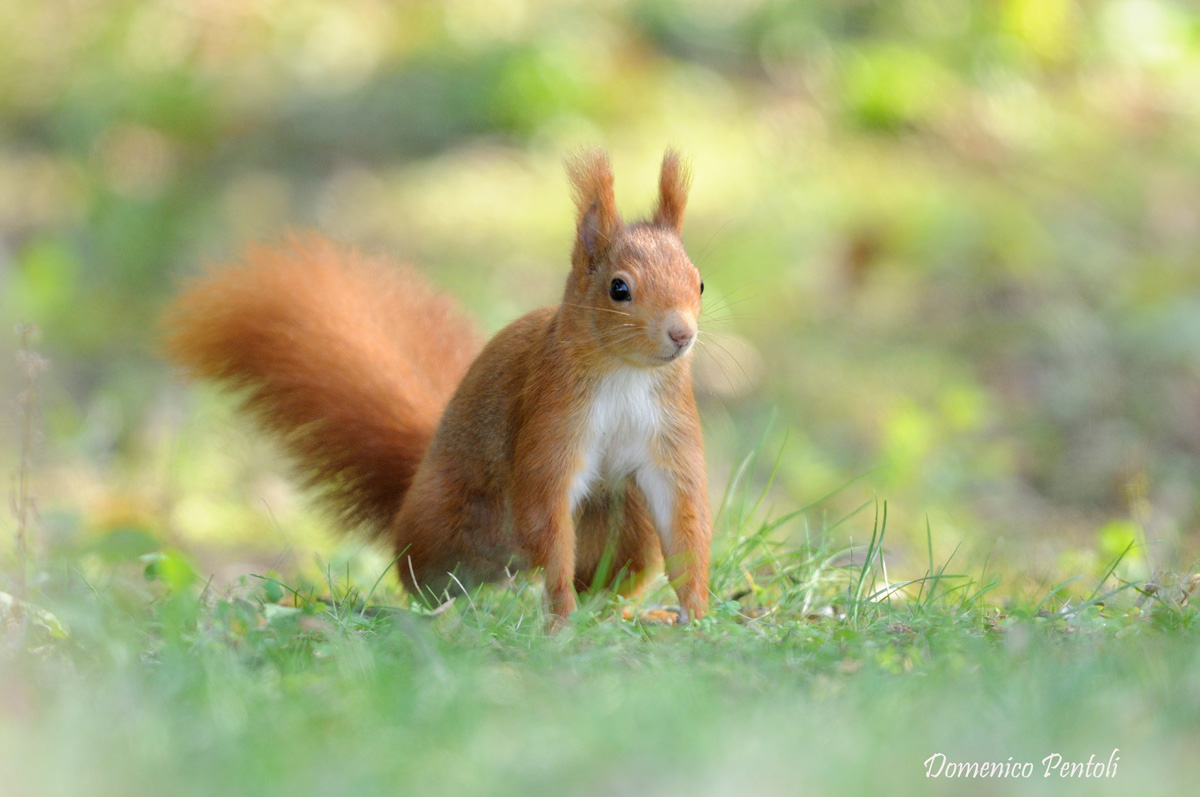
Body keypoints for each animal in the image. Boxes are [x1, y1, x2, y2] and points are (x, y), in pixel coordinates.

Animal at [164, 149, 711, 625]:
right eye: (619, 289)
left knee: (607, 575)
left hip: (627, 525)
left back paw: (622, 612)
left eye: (699, 282)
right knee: (426, 574)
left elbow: (684, 517)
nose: (682, 334)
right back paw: (449, 610)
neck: (626, 374)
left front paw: (695, 611)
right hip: (449, 521)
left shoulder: (668, 431)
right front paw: (560, 617)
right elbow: (547, 509)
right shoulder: (550, 417)